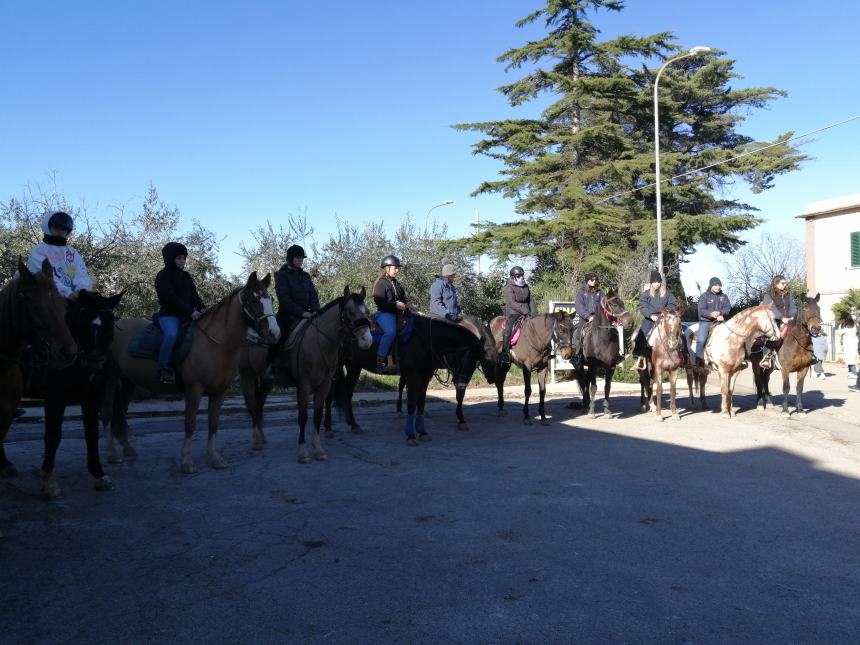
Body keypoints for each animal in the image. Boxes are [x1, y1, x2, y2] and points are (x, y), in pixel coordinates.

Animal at [17, 290, 124, 496]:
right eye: (83, 324)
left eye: (109, 327)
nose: (93, 365)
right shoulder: (55, 399)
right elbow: (53, 436)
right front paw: (48, 481)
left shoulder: (91, 398)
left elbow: (91, 434)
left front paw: (99, 474)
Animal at [103, 272, 278, 472]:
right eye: (254, 300)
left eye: (270, 299)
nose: (274, 332)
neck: (214, 343)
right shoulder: (194, 389)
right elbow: (190, 423)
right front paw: (187, 460)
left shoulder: (220, 391)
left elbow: (213, 423)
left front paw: (215, 457)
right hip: (111, 378)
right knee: (107, 412)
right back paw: (112, 454)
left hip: (128, 382)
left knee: (120, 411)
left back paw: (127, 448)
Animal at [237, 286, 372, 458]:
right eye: (351, 312)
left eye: (367, 311)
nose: (367, 341)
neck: (318, 343)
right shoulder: (303, 386)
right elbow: (303, 417)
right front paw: (302, 452)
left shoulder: (324, 386)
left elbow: (317, 415)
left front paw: (318, 449)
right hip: (247, 377)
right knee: (252, 405)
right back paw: (256, 441)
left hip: (267, 382)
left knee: (259, 404)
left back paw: (262, 437)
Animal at [330, 314, 490, 442]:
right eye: (467, 357)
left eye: (477, 362)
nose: (462, 384)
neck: (426, 339)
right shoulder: (414, 374)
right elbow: (412, 402)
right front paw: (411, 435)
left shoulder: (425, 375)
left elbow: (421, 402)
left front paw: (422, 431)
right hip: (342, 367)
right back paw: (334, 427)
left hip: (352, 366)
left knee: (345, 393)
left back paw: (350, 425)